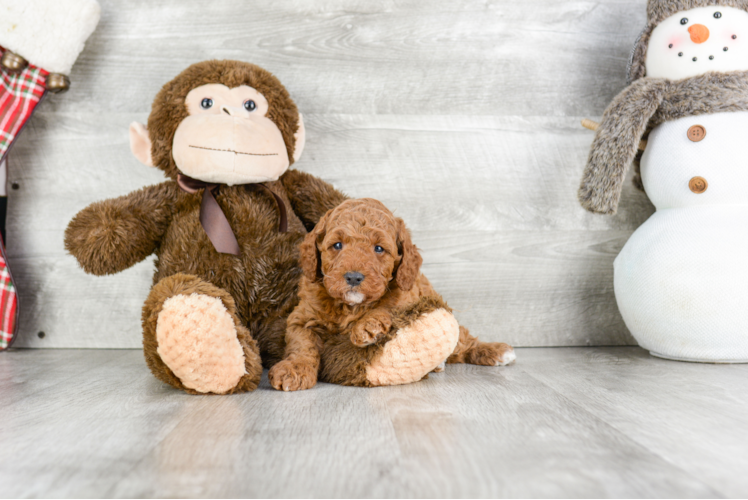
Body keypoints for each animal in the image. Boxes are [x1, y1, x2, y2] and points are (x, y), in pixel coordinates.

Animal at [268, 198, 516, 390]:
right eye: (337, 245)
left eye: (379, 249)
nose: (354, 278)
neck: (350, 307)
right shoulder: (302, 318)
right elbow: (302, 346)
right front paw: (294, 370)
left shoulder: (408, 295)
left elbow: (387, 306)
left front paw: (368, 327)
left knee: (464, 341)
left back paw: (496, 351)